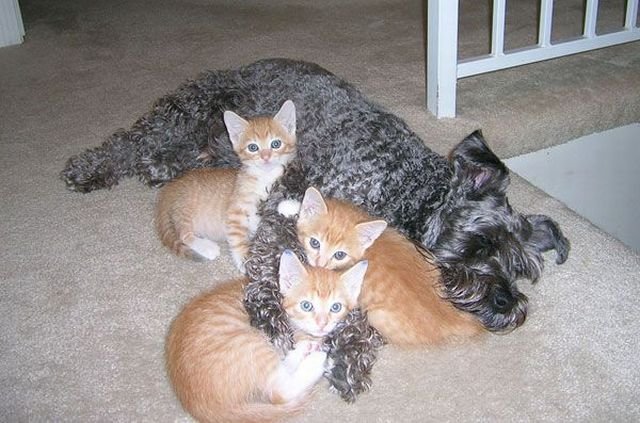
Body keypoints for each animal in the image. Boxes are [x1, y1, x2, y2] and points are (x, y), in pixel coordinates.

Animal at [154, 99, 297, 270]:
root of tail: (171, 187)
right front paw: (244, 261)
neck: (265, 177)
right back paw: (207, 248)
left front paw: (291, 206)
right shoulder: (235, 211)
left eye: (276, 144)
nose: (266, 157)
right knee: (184, 235)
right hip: (185, 209)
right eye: (253, 147)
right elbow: (237, 238)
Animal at [165, 250, 368, 423]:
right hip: (250, 344)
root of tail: (200, 405)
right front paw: (312, 345)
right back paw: (317, 358)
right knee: (279, 391)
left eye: (336, 307)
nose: (322, 323)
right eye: (306, 305)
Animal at [289, 187, 483, 346]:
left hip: (377, 316)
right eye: (314, 243)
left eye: (339, 255)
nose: (319, 263)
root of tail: (452, 316)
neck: (369, 246)